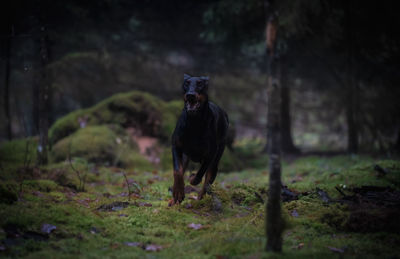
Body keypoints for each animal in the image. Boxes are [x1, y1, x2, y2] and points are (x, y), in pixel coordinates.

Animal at [170, 74, 228, 206]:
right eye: (186, 83)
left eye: (200, 84)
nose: (190, 95)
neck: (194, 122)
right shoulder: (176, 145)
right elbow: (177, 171)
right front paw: (178, 193)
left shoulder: (211, 153)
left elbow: (200, 174)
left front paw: (192, 178)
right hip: (185, 156)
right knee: (182, 169)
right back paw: (174, 199)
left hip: (217, 155)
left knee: (208, 179)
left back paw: (200, 197)